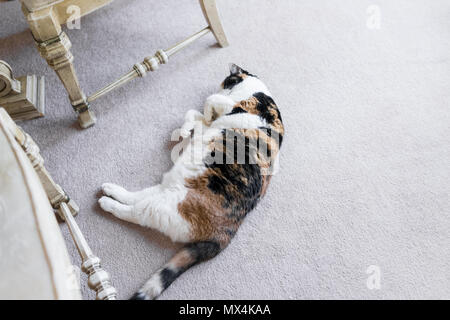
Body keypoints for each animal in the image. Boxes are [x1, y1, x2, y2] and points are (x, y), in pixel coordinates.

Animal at [99, 63, 284, 298]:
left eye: (225, 81)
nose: (221, 87)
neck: (258, 91)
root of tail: (228, 231)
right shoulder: (212, 117)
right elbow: (195, 114)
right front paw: (186, 129)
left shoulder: (233, 105)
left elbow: (209, 101)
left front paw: (199, 118)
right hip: (165, 192)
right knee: (134, 197)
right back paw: (110, 189)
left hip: (165, 209)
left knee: (133, 212)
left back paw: (106, 202)